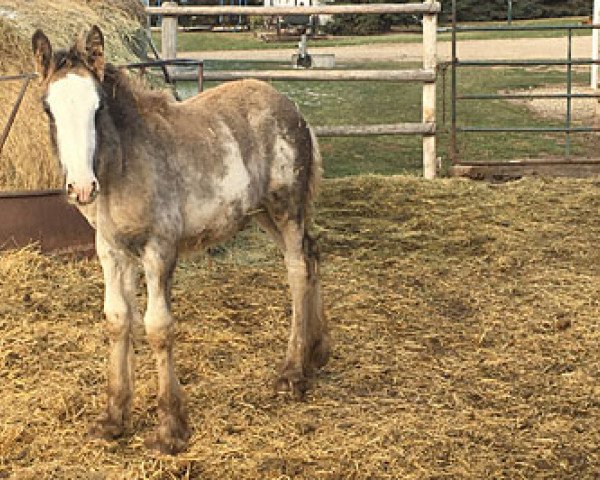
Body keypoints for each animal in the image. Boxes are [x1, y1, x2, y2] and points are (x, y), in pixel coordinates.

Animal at [32, 26, 330, 454]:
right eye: (48, 109)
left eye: (97, 108)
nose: (82, 188)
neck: (124, 167)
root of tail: (293, 109)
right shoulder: (111, 251)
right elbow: (118, 319)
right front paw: (112, 418)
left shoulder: (159, 249)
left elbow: (158, 327)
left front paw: (170, 428)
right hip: (262, 213)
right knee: (314, 254)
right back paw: (318, 352)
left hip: (285, 208)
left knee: (298, 270)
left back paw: (292, 372)